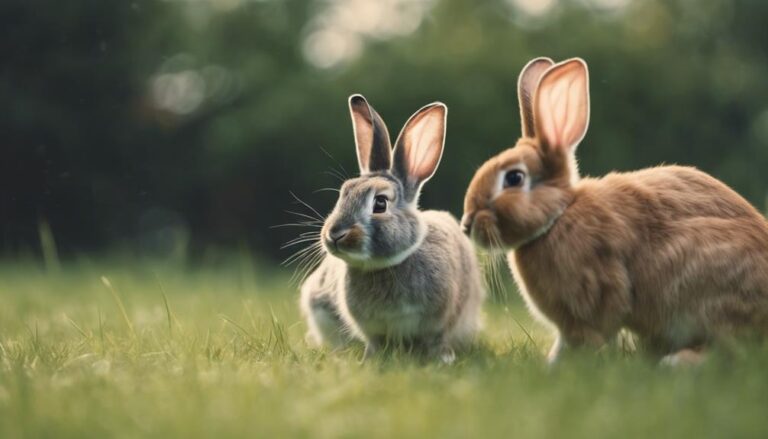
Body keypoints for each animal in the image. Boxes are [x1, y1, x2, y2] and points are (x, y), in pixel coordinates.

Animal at [300, 94, 485, 363]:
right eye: (344, 193)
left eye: (380, 203)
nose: (335, 234)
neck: (383, 265)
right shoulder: (371, 329)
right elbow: (375, 343)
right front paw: (369, 361)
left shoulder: (439, 322)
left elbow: (436, 340)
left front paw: (443, 360)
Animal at [461, 57, 768, 365]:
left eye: (514, 178)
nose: (466, 224)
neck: (559, 215)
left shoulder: (593, 296)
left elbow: (590, 334)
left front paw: (561, 366)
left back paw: (678, 362)